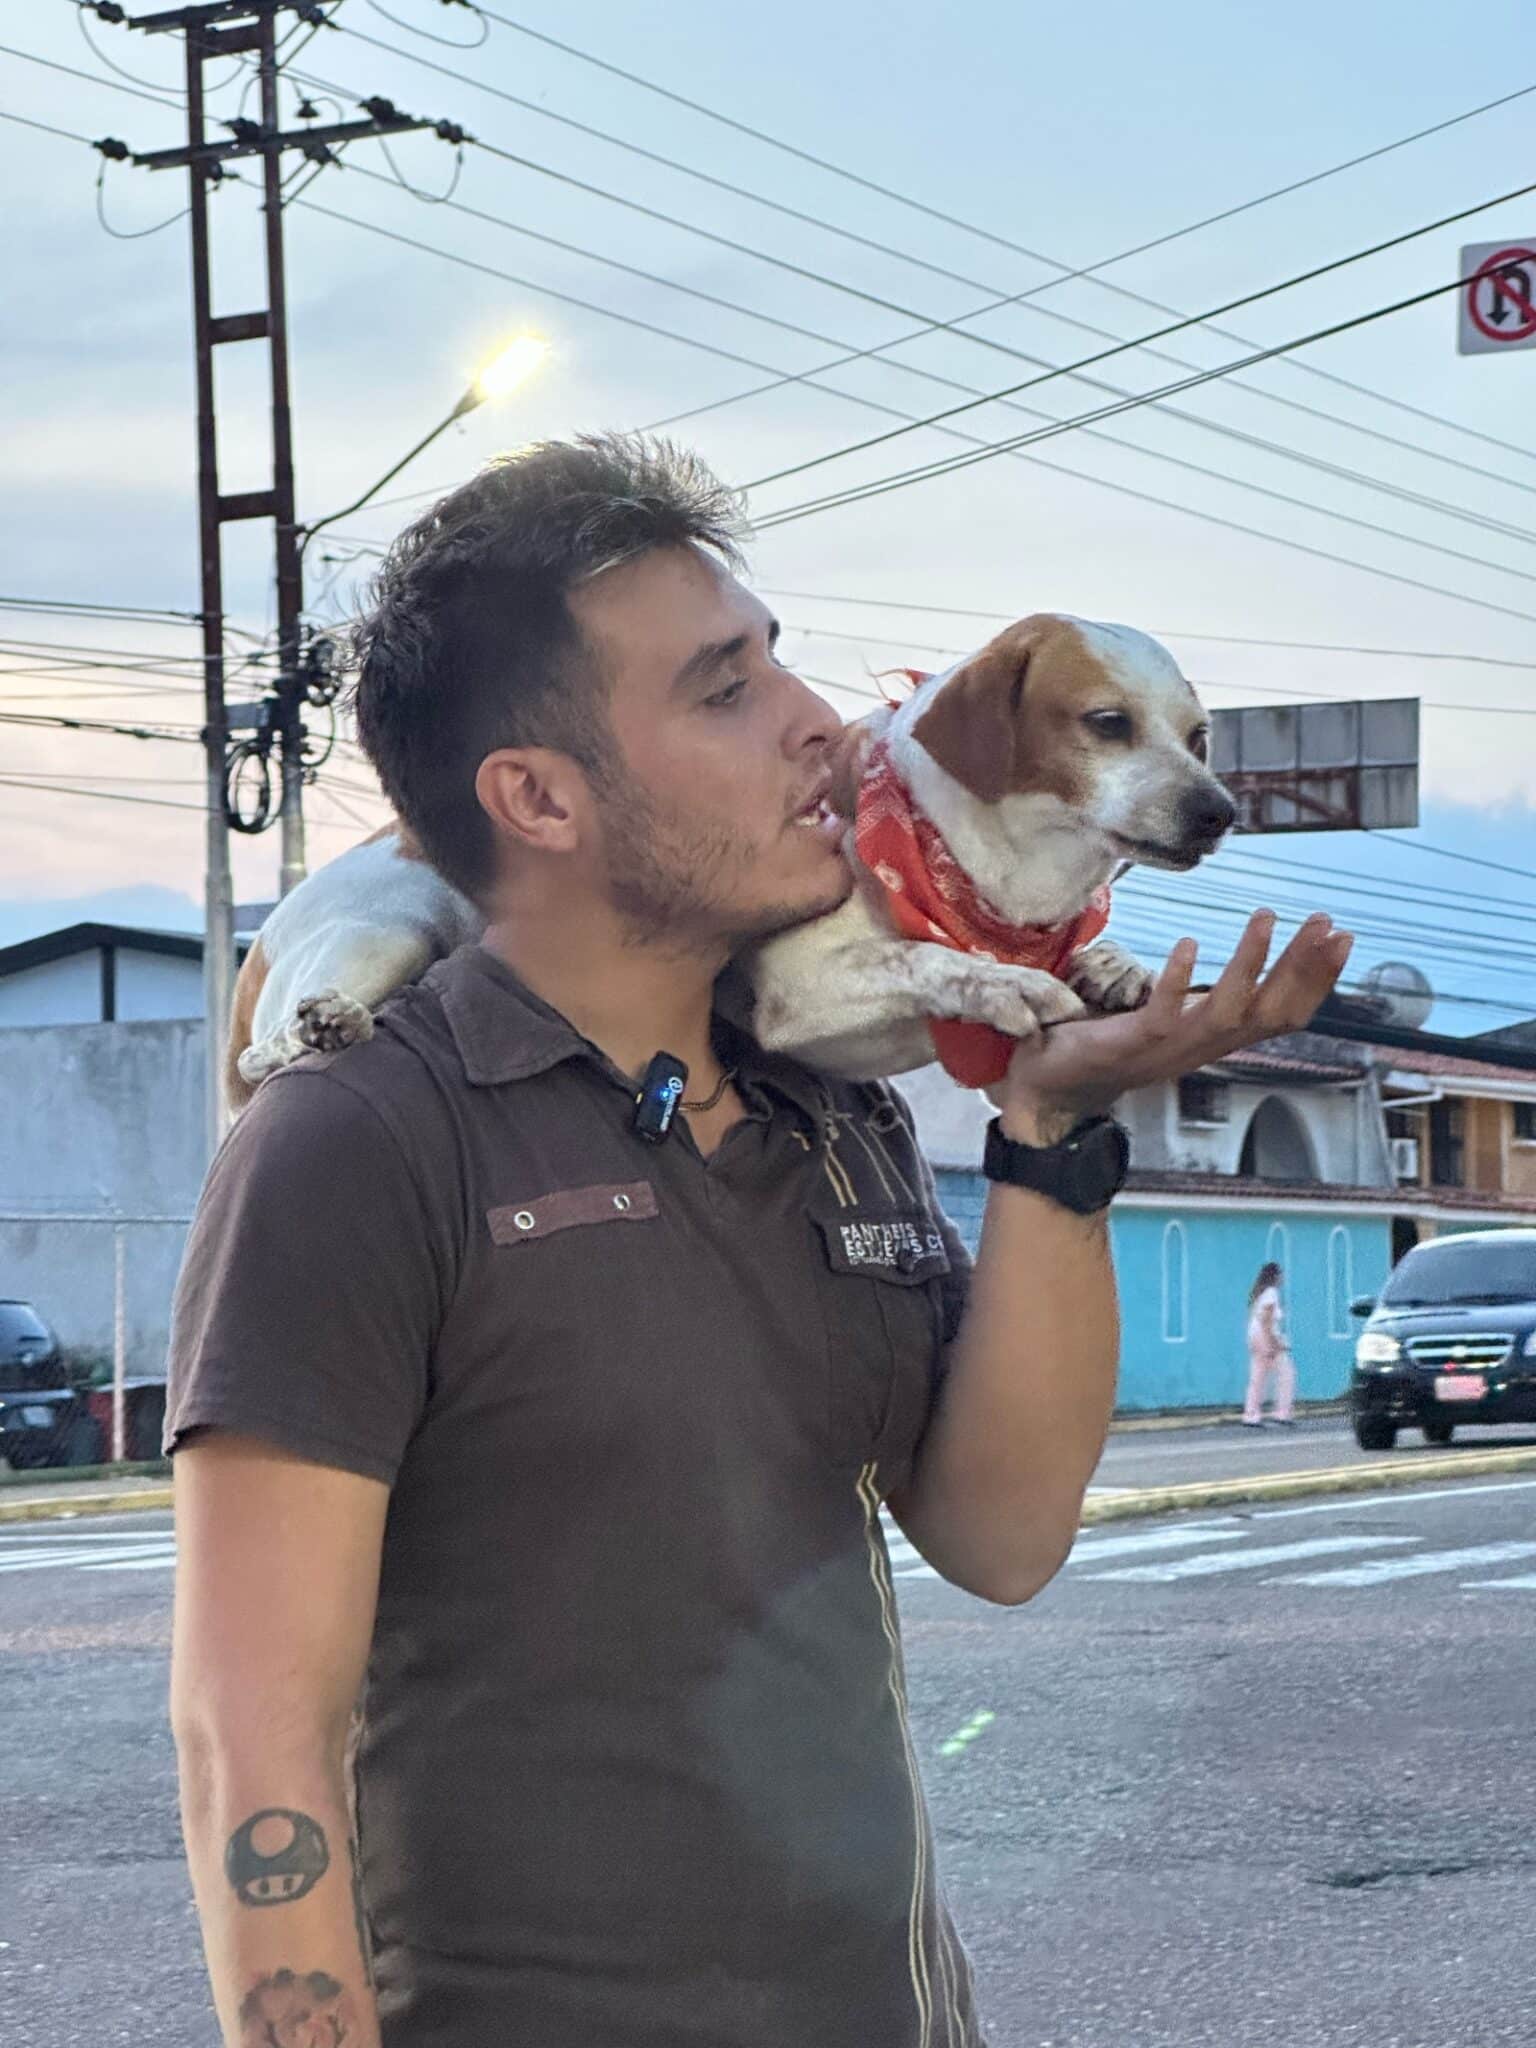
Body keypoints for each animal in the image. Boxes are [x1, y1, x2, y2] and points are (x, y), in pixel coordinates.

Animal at [228, 614, 1236, 1114]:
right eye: (1107, 722)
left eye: (1200, 738)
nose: (1219, 812)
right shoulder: (798, 988)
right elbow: (923, 956)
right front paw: (1000, 980)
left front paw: (1110, 965)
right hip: (387, 929)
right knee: (263, 1054)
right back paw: (325, 1025)